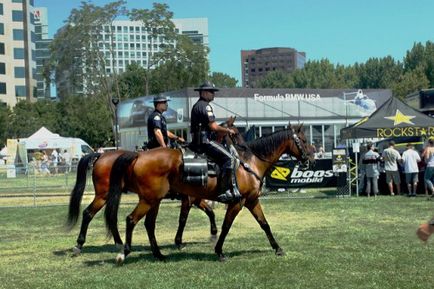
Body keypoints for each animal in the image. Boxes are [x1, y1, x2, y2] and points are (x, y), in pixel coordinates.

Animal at [65, 116, 241, 253]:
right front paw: (180, 242)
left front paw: (213, 233)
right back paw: (79, 244)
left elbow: (210, 212)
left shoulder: (195, 198)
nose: (243, 147)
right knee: (88, 213)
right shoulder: (189, 198)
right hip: (103, 195)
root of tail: (100, 155)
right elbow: (183, 219)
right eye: (236, 133)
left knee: (111, 216)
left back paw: (118, 243)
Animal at [104, 122, 316, 262]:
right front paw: (219, 251)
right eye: (304, 140)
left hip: (153, 200)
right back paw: (124, 252)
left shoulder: (251, 201)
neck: (249, 162)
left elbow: (264, 224)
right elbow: (225, 226)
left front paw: (277, 248)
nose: (311, 159)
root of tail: (138, 155)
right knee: (131, 219)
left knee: (148, 224)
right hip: (148, 200)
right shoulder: (235, 202)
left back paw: (158, 254)